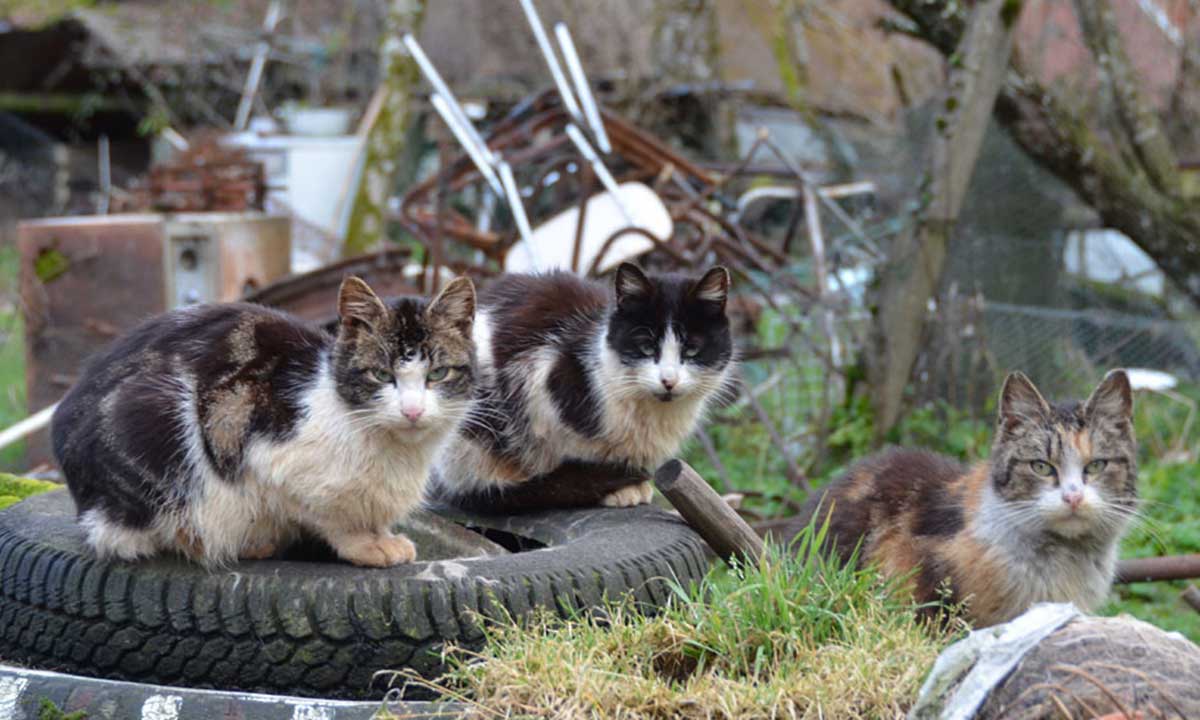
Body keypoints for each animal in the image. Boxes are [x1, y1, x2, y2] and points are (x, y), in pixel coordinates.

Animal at [51, 272, 475, 566]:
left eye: (437, 374)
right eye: (382, 375)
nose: (413, 411)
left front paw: (382, 534)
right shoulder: (258, 446)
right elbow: (332, 515)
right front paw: (367, 544)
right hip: (155, 420)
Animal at [432, 264, 729, 511]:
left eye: (692, 350)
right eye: (645, 347)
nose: (669, 381)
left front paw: (634, 484)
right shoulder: (540, 379)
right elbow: (569, 452)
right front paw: (616, 487)